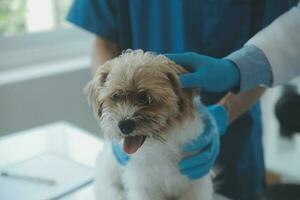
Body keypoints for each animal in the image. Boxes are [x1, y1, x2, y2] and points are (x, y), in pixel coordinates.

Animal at [85, 50, 213, 200]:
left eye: (146, 98)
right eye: (116, 96)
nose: (124, 124)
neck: (161, 145)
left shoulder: (196, 183)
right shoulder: (142, 187)